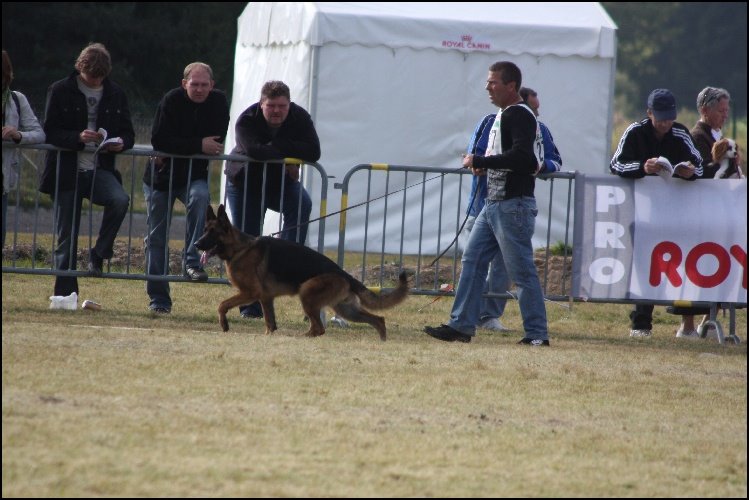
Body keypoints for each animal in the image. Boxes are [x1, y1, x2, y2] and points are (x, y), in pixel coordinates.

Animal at [194, 204, 410, 340]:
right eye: (204, 230)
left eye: (213, 233)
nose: (196, 244)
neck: (240, 248)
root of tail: (345, 274)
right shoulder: (265, 298)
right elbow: (269, 323)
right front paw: (268, 336)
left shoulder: (250, 293)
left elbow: (222, 305)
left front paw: (224, 325)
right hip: (346, 309)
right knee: (378, 319)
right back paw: (382, 340)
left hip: (307, 293)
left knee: (319, 328)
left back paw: (301, 337)